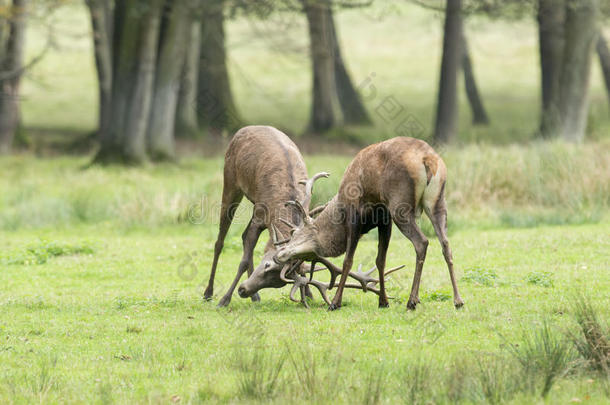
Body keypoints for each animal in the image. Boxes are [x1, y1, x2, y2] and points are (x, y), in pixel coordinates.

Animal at [274, 136, 464, 310]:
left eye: (295, 234)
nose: (279, 255)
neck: (340, 207)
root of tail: (428, 159)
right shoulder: (385, 221)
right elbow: (380, 260)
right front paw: (383, 301)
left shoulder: (355, 215)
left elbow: (348, 260)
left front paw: (335, 302)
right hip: (437, 202)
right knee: (446, 244)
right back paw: (458, 300)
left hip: (400, 206)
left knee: (422, 242)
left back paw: (412, 301)